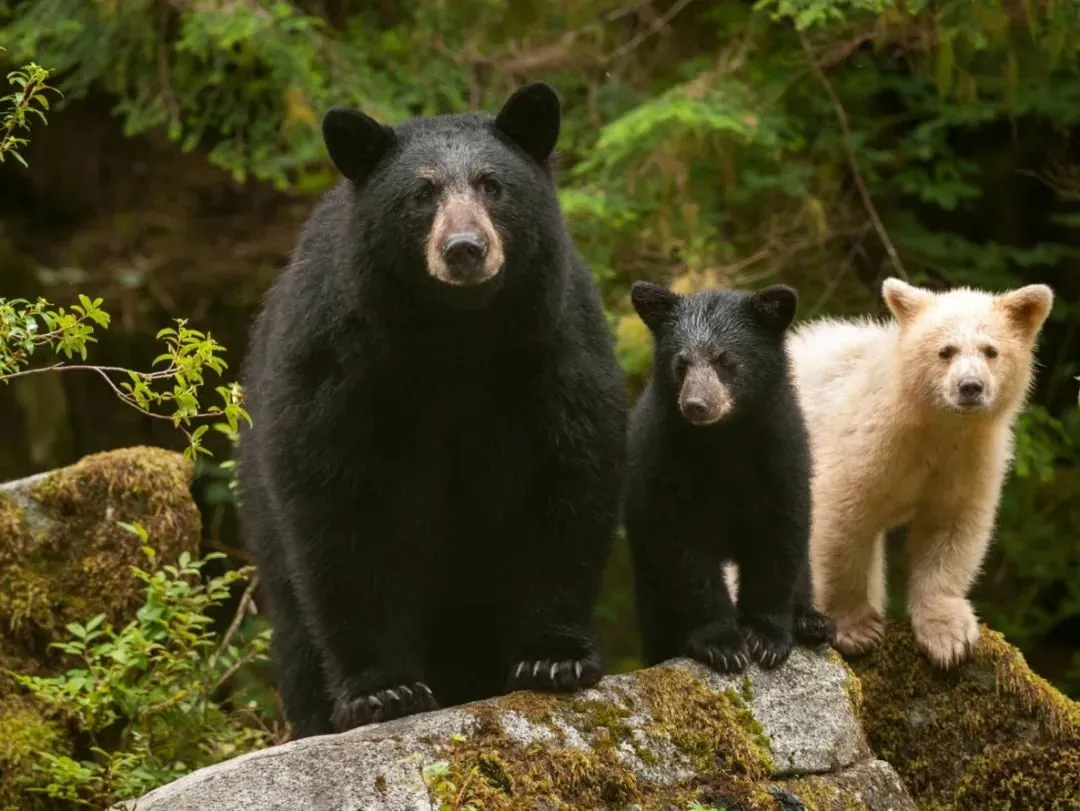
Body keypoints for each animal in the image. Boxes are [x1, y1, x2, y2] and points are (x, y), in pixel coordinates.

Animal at [234, 84, 626, 742]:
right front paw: (382, 691)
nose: (465, 250)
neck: (454, 336)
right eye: (421, 194)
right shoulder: (341, 365)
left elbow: (565, 482)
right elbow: (342, 510)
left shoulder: (550, 348)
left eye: (493, 184)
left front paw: (555, 659)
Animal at [626, 282, 833, 673]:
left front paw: (767, 637)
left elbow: (779, 538)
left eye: (725, 360)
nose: (696, 405)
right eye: (681, 362)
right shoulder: (666, 462)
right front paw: (721, 644)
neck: (723, 439)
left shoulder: (781, 453)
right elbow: (684, 550)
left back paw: (812, 621)